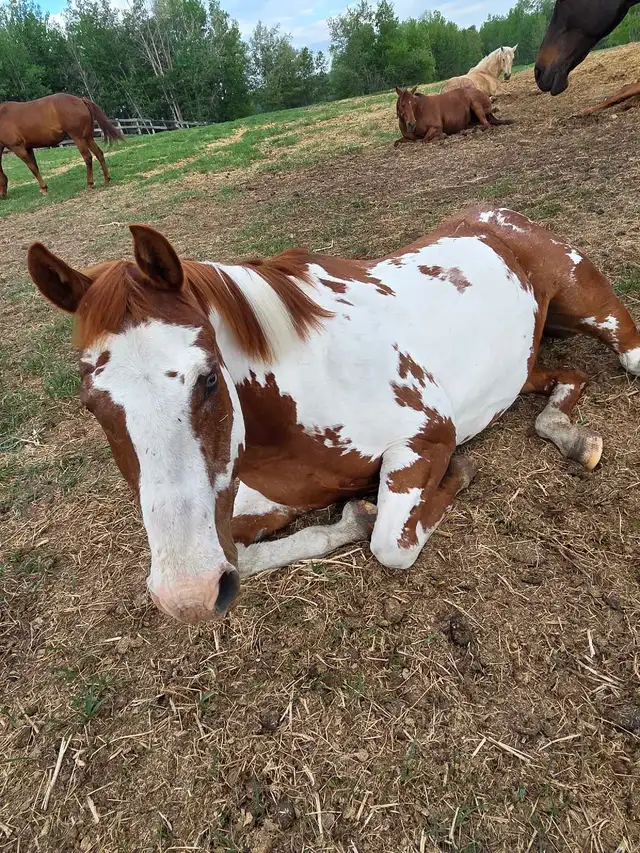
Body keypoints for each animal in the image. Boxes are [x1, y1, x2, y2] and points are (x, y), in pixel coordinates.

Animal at [27, 206, 640, 625]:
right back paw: (568, 434)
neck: (303, 392)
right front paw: (351, 518)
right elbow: (248, 553)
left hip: (602, 318)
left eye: (207, 378)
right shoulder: (249, 502)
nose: (190, 594)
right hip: (522, 370)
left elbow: (392, 543)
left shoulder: (426, 440)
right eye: (92, 405)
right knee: (565, 381)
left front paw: (457, 476)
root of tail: (500, 218)